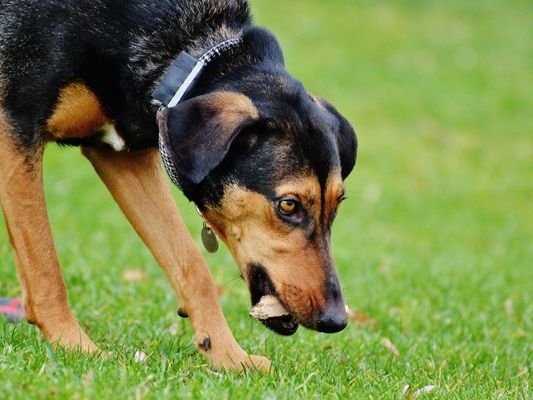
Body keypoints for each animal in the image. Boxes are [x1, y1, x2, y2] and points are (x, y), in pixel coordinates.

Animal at [1, 0, 358, 372]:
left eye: (338, 204)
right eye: (288, 205)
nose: (336, 320)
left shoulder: (122, 157)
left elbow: (192, 263)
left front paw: (229, 355)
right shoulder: (16, 127)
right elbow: (44, 265)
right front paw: (75, 347)